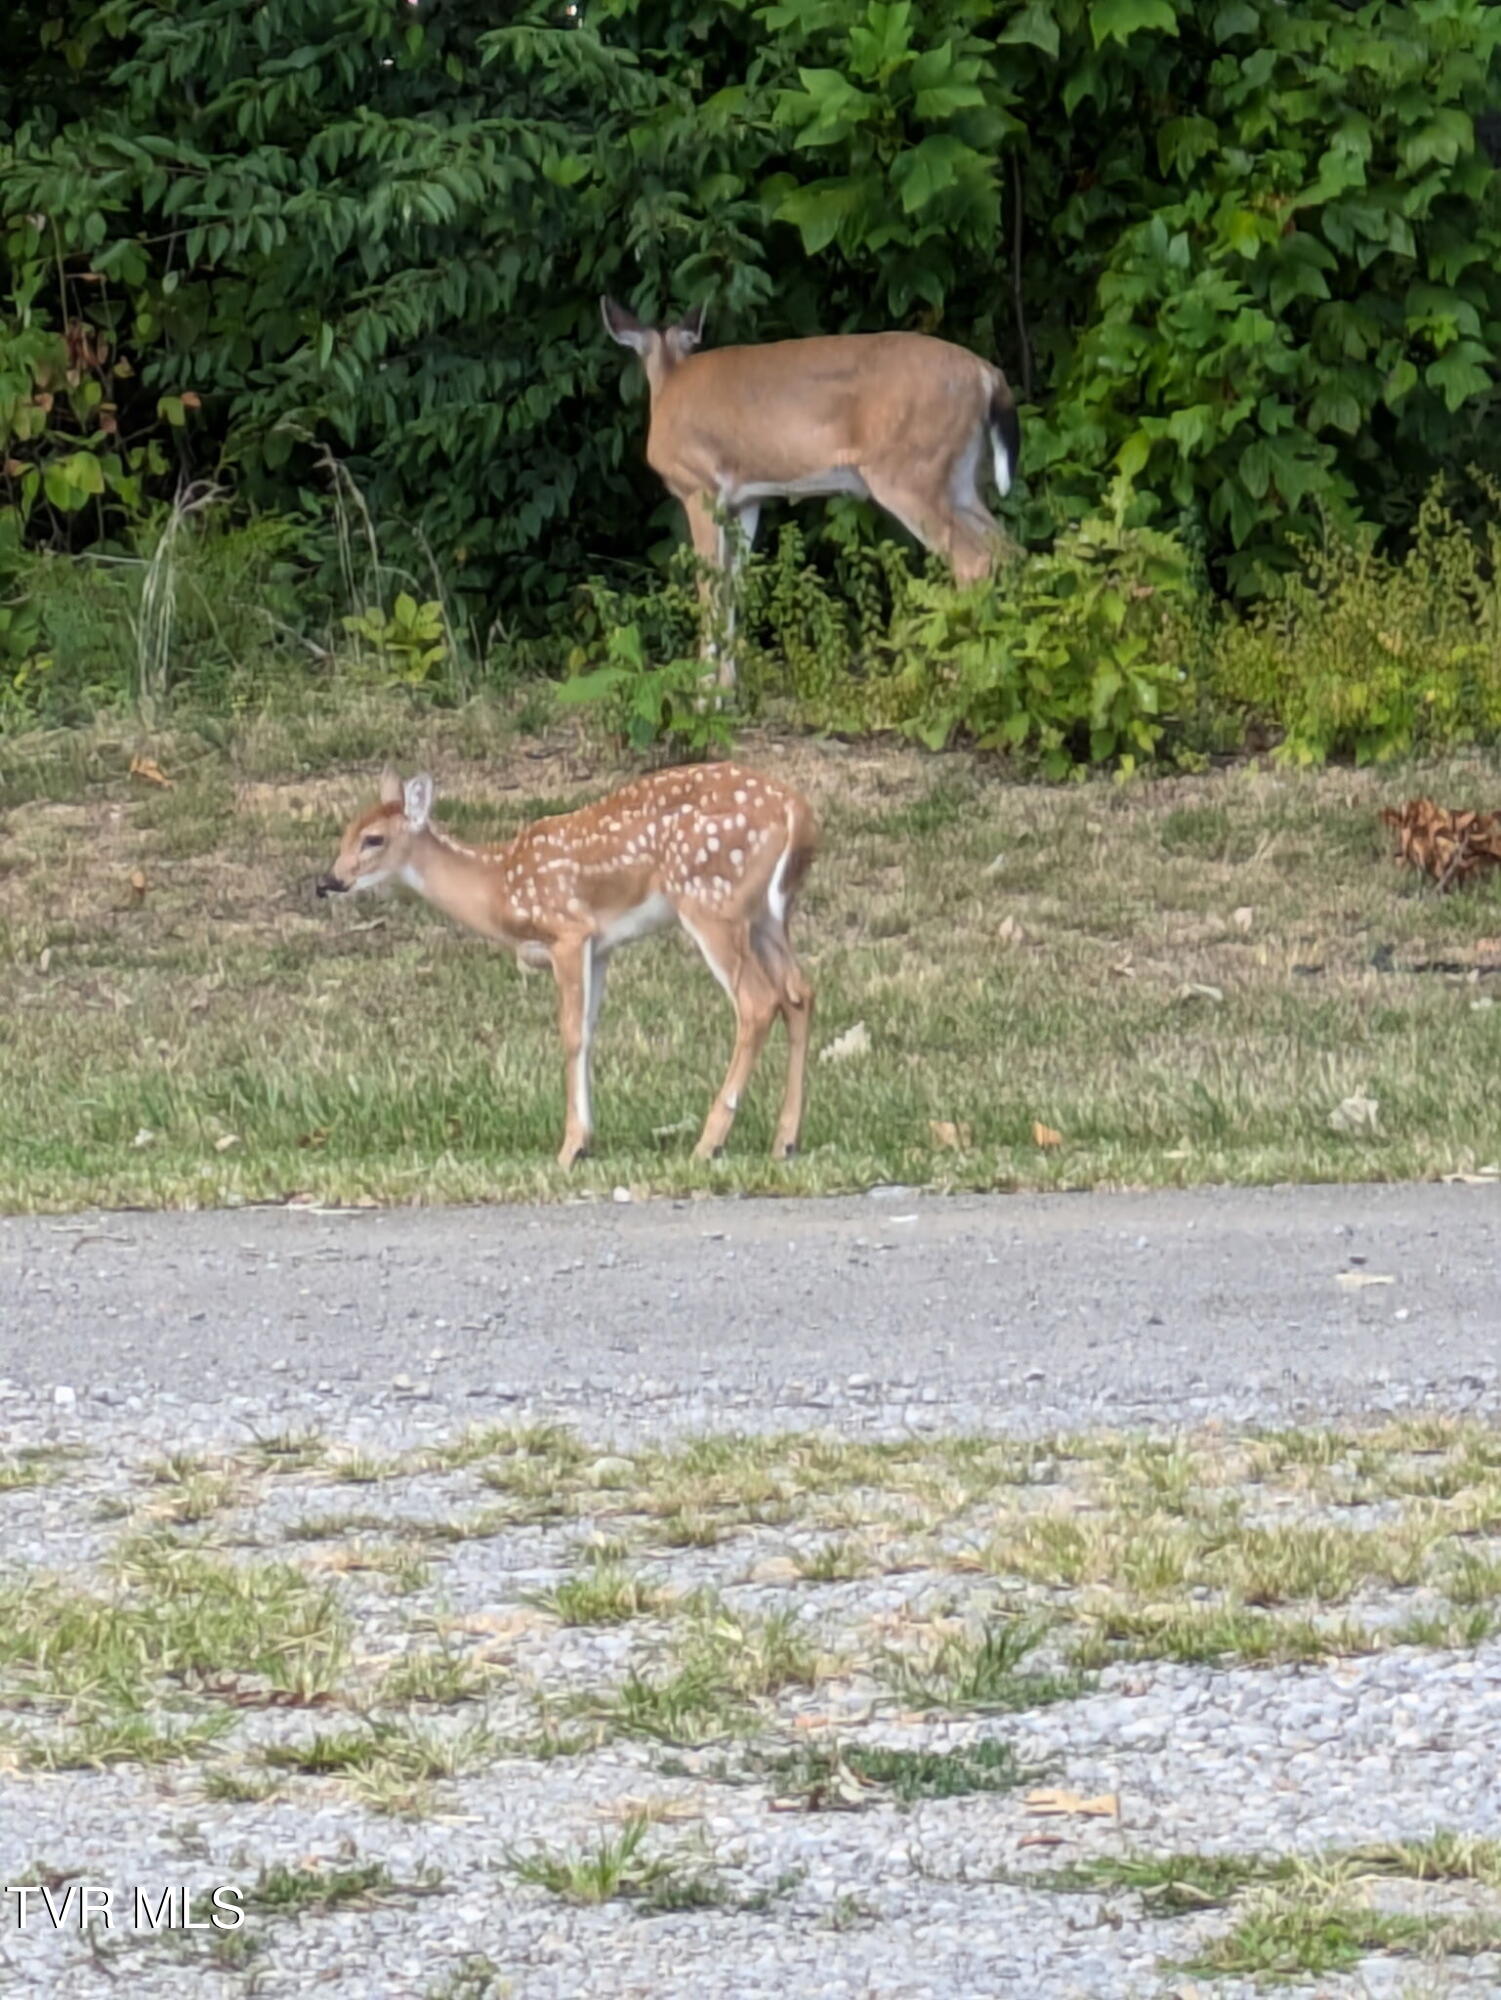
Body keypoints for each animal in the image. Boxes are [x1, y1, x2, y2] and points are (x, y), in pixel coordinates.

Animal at [316, 763, 817, 1169]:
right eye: (345, 831)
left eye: (374, 839)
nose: (329, 881)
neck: (499, 886)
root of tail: (798, 812)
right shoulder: (600, 945)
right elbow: (590, 1032)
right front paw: (587, 1141)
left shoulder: (568, 931)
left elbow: (571, 1034)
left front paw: (570, 1148)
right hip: (767, 915)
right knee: (799, 993)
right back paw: (785, 1141)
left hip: (710, 899)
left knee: (757, 1002)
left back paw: (709, 1143)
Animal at [601, 297, 1021, 687]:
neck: (669, 382)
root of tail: (987, 374)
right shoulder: (745, 500)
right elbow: (734, 585)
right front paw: (728, 692)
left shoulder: (699, 487)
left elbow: (710, 587)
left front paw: (704, 695)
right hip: (958, 477)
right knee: (1008, 548)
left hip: (908, 472)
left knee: (973, 557)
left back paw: (964, 678)